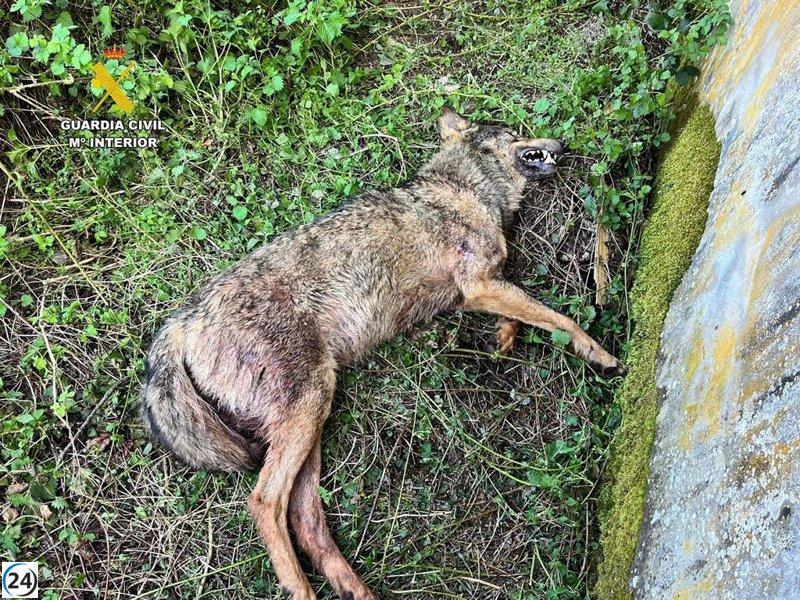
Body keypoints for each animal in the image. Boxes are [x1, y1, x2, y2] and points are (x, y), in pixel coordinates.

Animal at [140, 108, 626, 599]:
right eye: (515, 132)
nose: (563, 144)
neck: (467, 190)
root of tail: (185, 319)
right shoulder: (479, 285)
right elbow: (559, 318)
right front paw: (600, 354)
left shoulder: (479, 290)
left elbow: (526, 314)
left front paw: (504, 338)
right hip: (308, 408)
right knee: (265, 502)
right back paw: (302, 589)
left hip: (309, 426)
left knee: (307, 520)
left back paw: (356, 590)